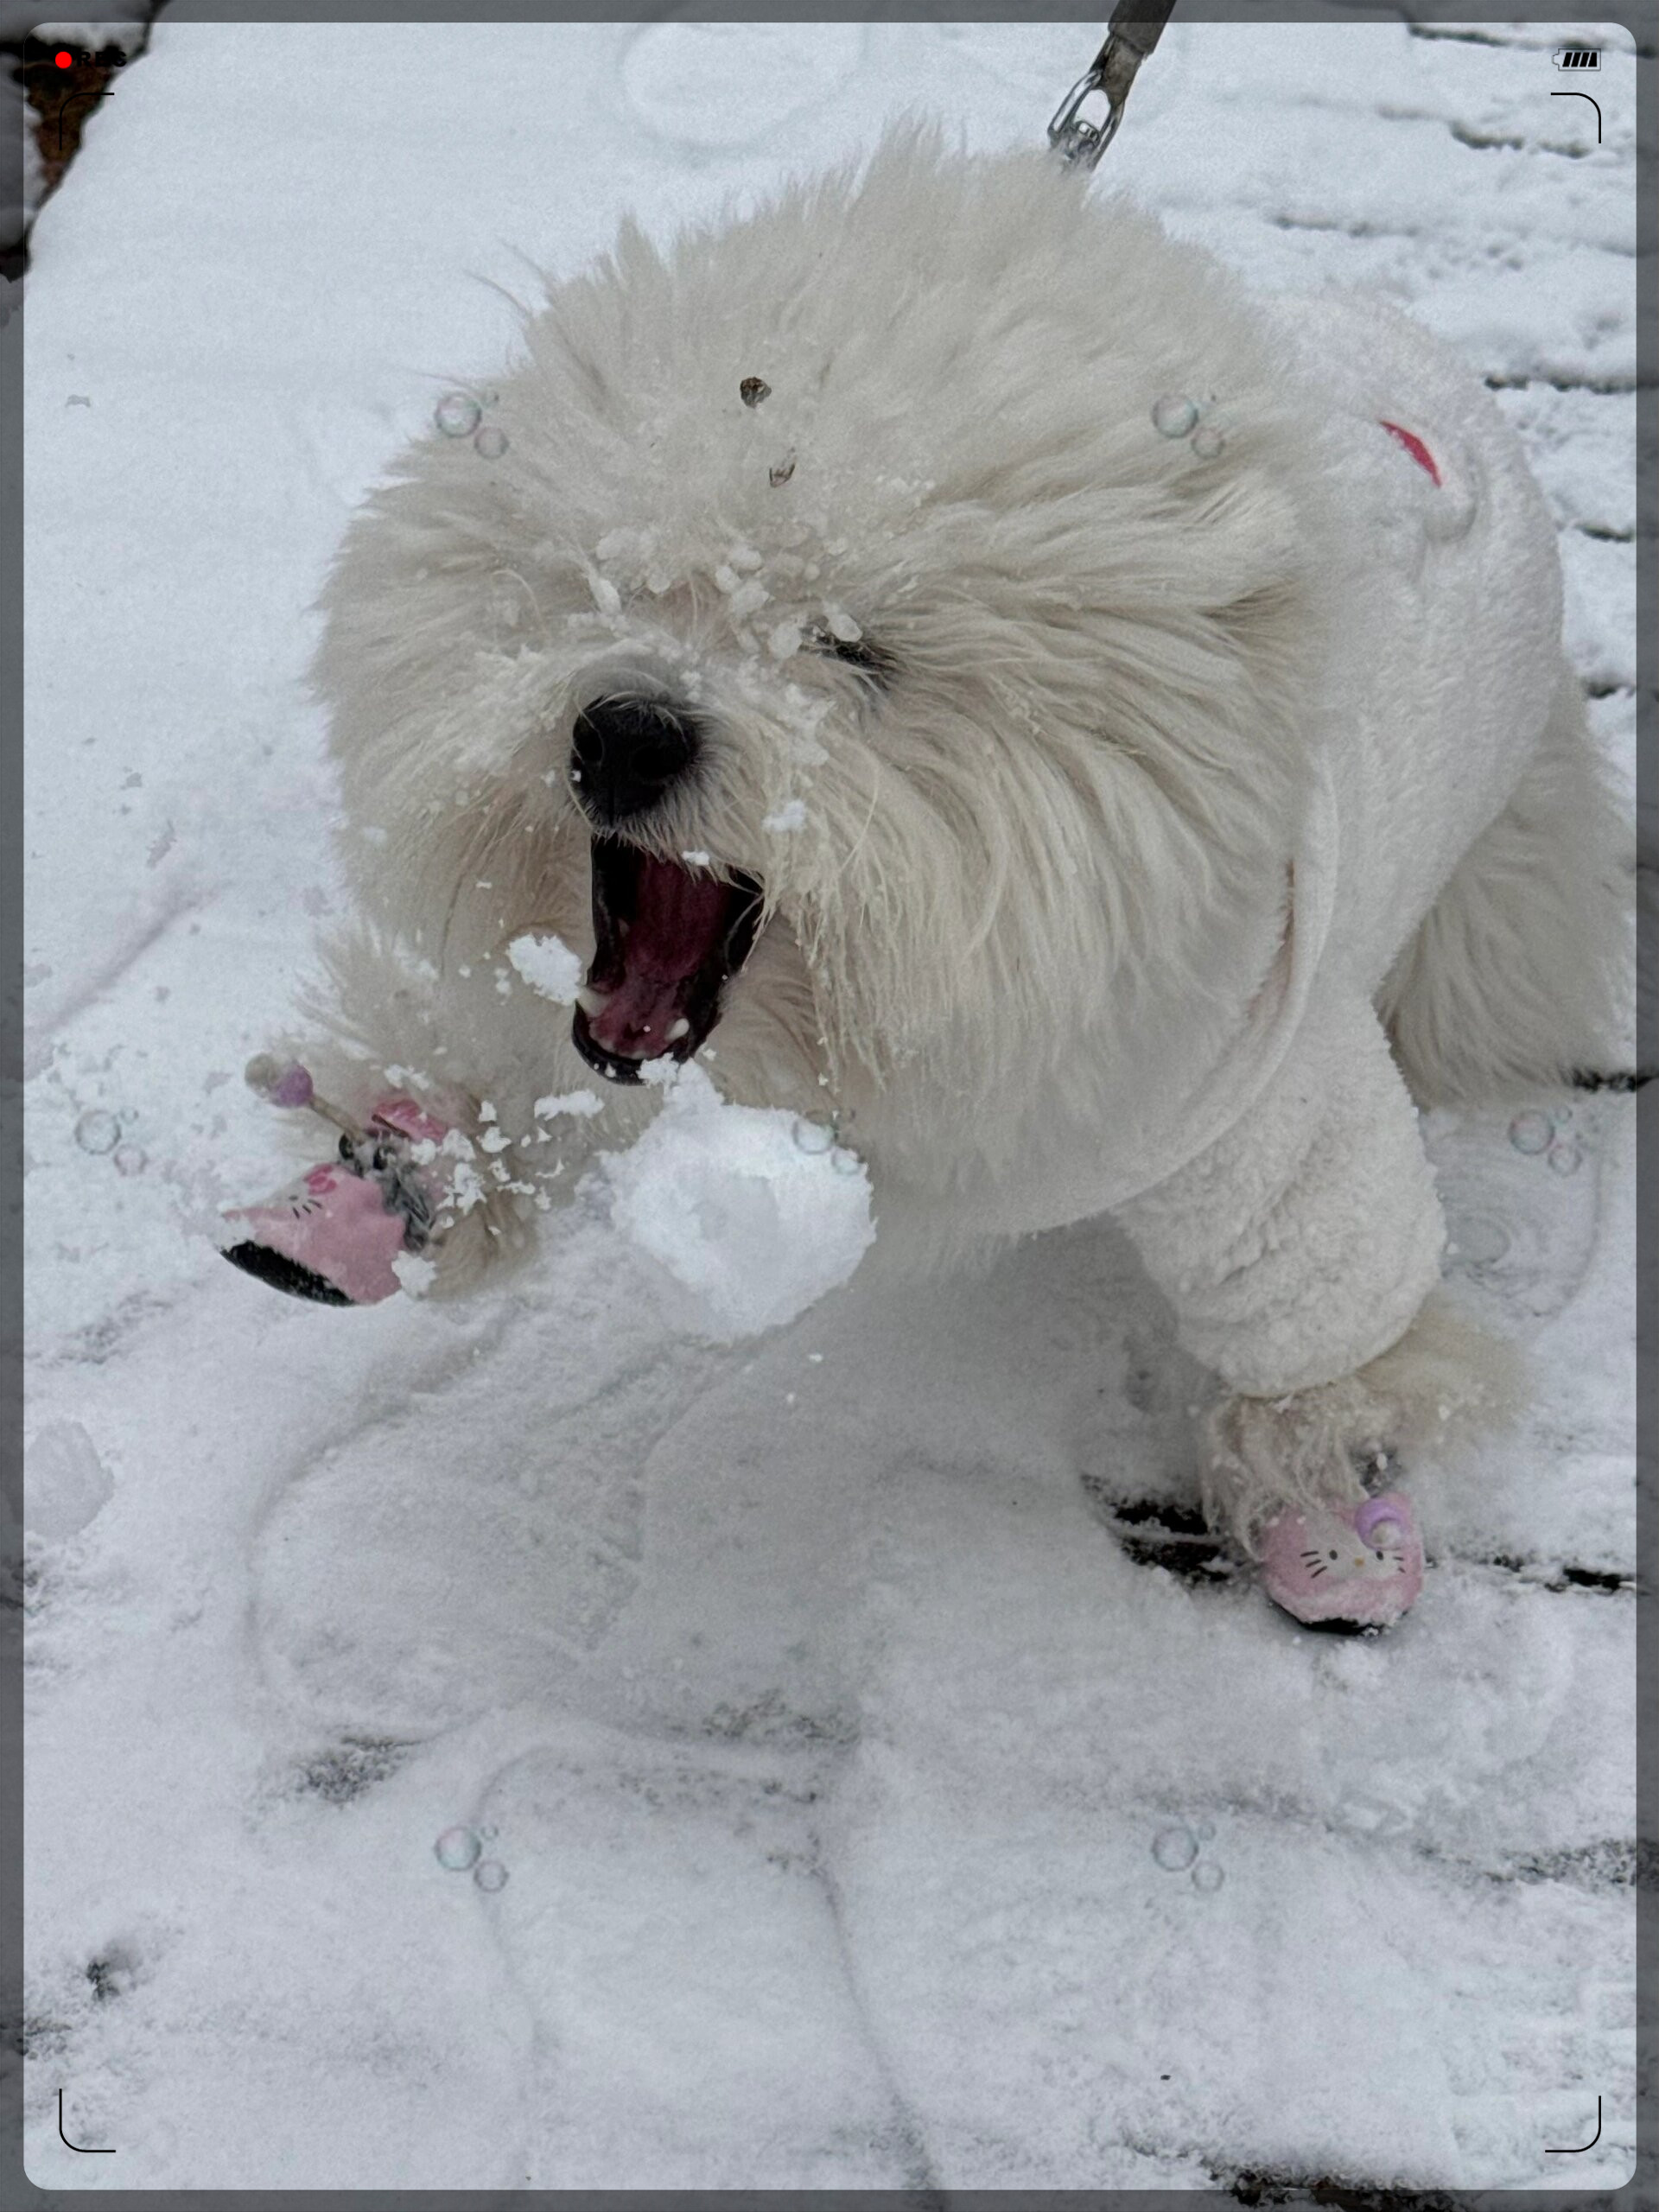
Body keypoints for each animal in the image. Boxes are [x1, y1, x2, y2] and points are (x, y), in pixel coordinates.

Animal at [234, 133, 1637, 1628]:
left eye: (855, 654)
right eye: (610, 586)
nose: (622, 732)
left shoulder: (1269, 1116)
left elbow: (1318, 1313)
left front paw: (1329, 1498)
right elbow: (515, 1059)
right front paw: (393, 1171)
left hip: (1498, 877)